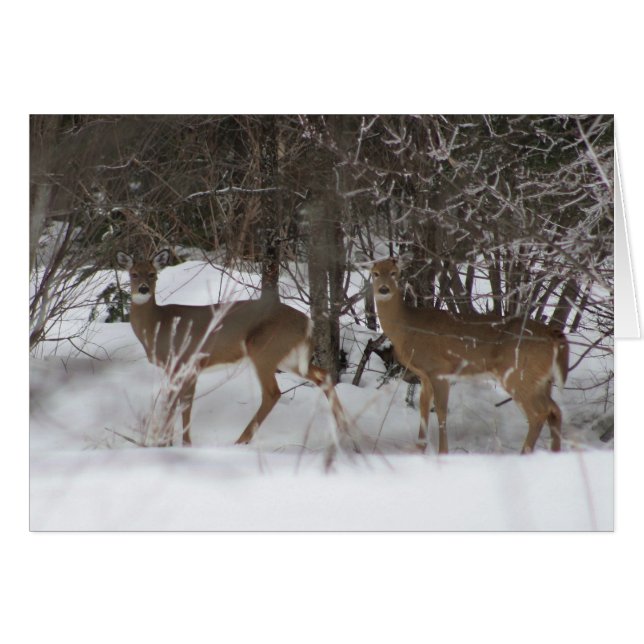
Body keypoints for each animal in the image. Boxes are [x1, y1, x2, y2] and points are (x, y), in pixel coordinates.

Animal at [115, 249, 352, 450]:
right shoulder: (177, 368)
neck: (158, 325)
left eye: (153, 274)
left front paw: (180, 445)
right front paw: (168, 443)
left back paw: (240, 441)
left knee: (272, 393)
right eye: (133, 274)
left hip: (263, 349)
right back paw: (345, 431)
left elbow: (181, 405)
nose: (143, 289)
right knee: (323, 375)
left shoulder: (188, 361)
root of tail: (307, 322)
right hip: (288, 357)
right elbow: (175, 404)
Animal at [370, 258, 569, 455]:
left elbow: (441, 410)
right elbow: (424, 406)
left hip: (518, 374)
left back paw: (525, 453)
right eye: (375, 273)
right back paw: (555, 452)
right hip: (541, 379)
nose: (384, 289)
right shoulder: (424, 375)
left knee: (539, 413)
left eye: (394, 273)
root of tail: (552, 335)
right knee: (555, 410)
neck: (407, 328)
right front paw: (419, 448)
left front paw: (443, 452)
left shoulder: (439, 369)